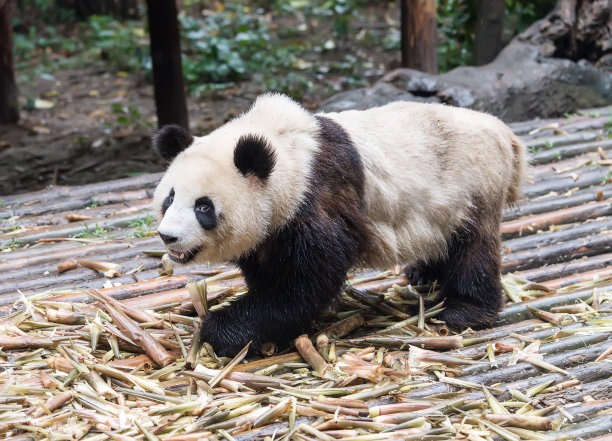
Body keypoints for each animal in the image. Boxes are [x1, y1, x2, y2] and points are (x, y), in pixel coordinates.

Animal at [152, 93, 524, 358]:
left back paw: (465, 310)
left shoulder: (318, 199)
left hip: (472, 185)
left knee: (473, 249)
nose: (168, 237)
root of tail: (505, 133)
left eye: (203, 207)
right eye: (169, 198)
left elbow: (305, 284)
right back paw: (424, 273)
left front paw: (223, 329)